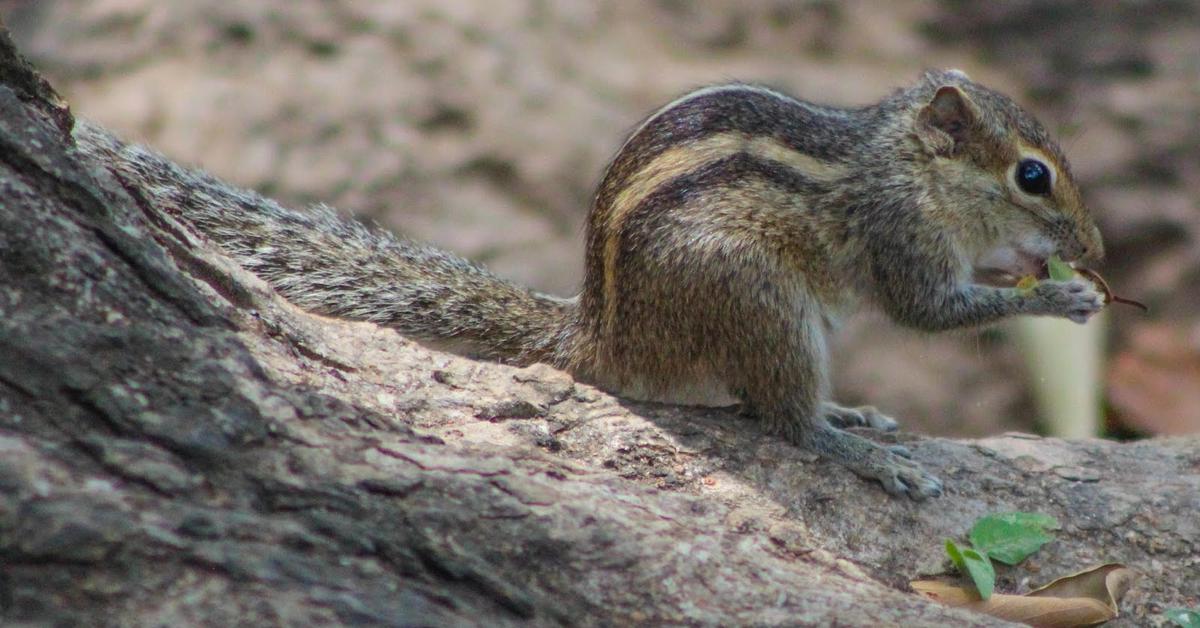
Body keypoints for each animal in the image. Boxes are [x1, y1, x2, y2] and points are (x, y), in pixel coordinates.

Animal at [82, 68, 1104, 501]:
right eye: (1033, 176)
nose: (1093, 245)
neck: (901, 162)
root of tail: (604, 334)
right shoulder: (902, 237)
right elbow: (929, 311)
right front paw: (1061, 295)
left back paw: (853, 414)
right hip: (759, 298)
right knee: (784, 419)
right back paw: (853, 445)